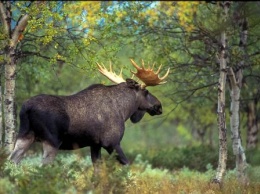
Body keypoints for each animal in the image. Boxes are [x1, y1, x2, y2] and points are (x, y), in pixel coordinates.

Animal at [8, 59, 170, 170]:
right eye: (146, 91)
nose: (159, 106)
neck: (124, 110)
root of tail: (26, 108)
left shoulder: (95, 144)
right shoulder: (111, 142)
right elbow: (127, 165)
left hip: (25, 135)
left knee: (12, 160)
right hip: (52, 141)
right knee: (42, 166)